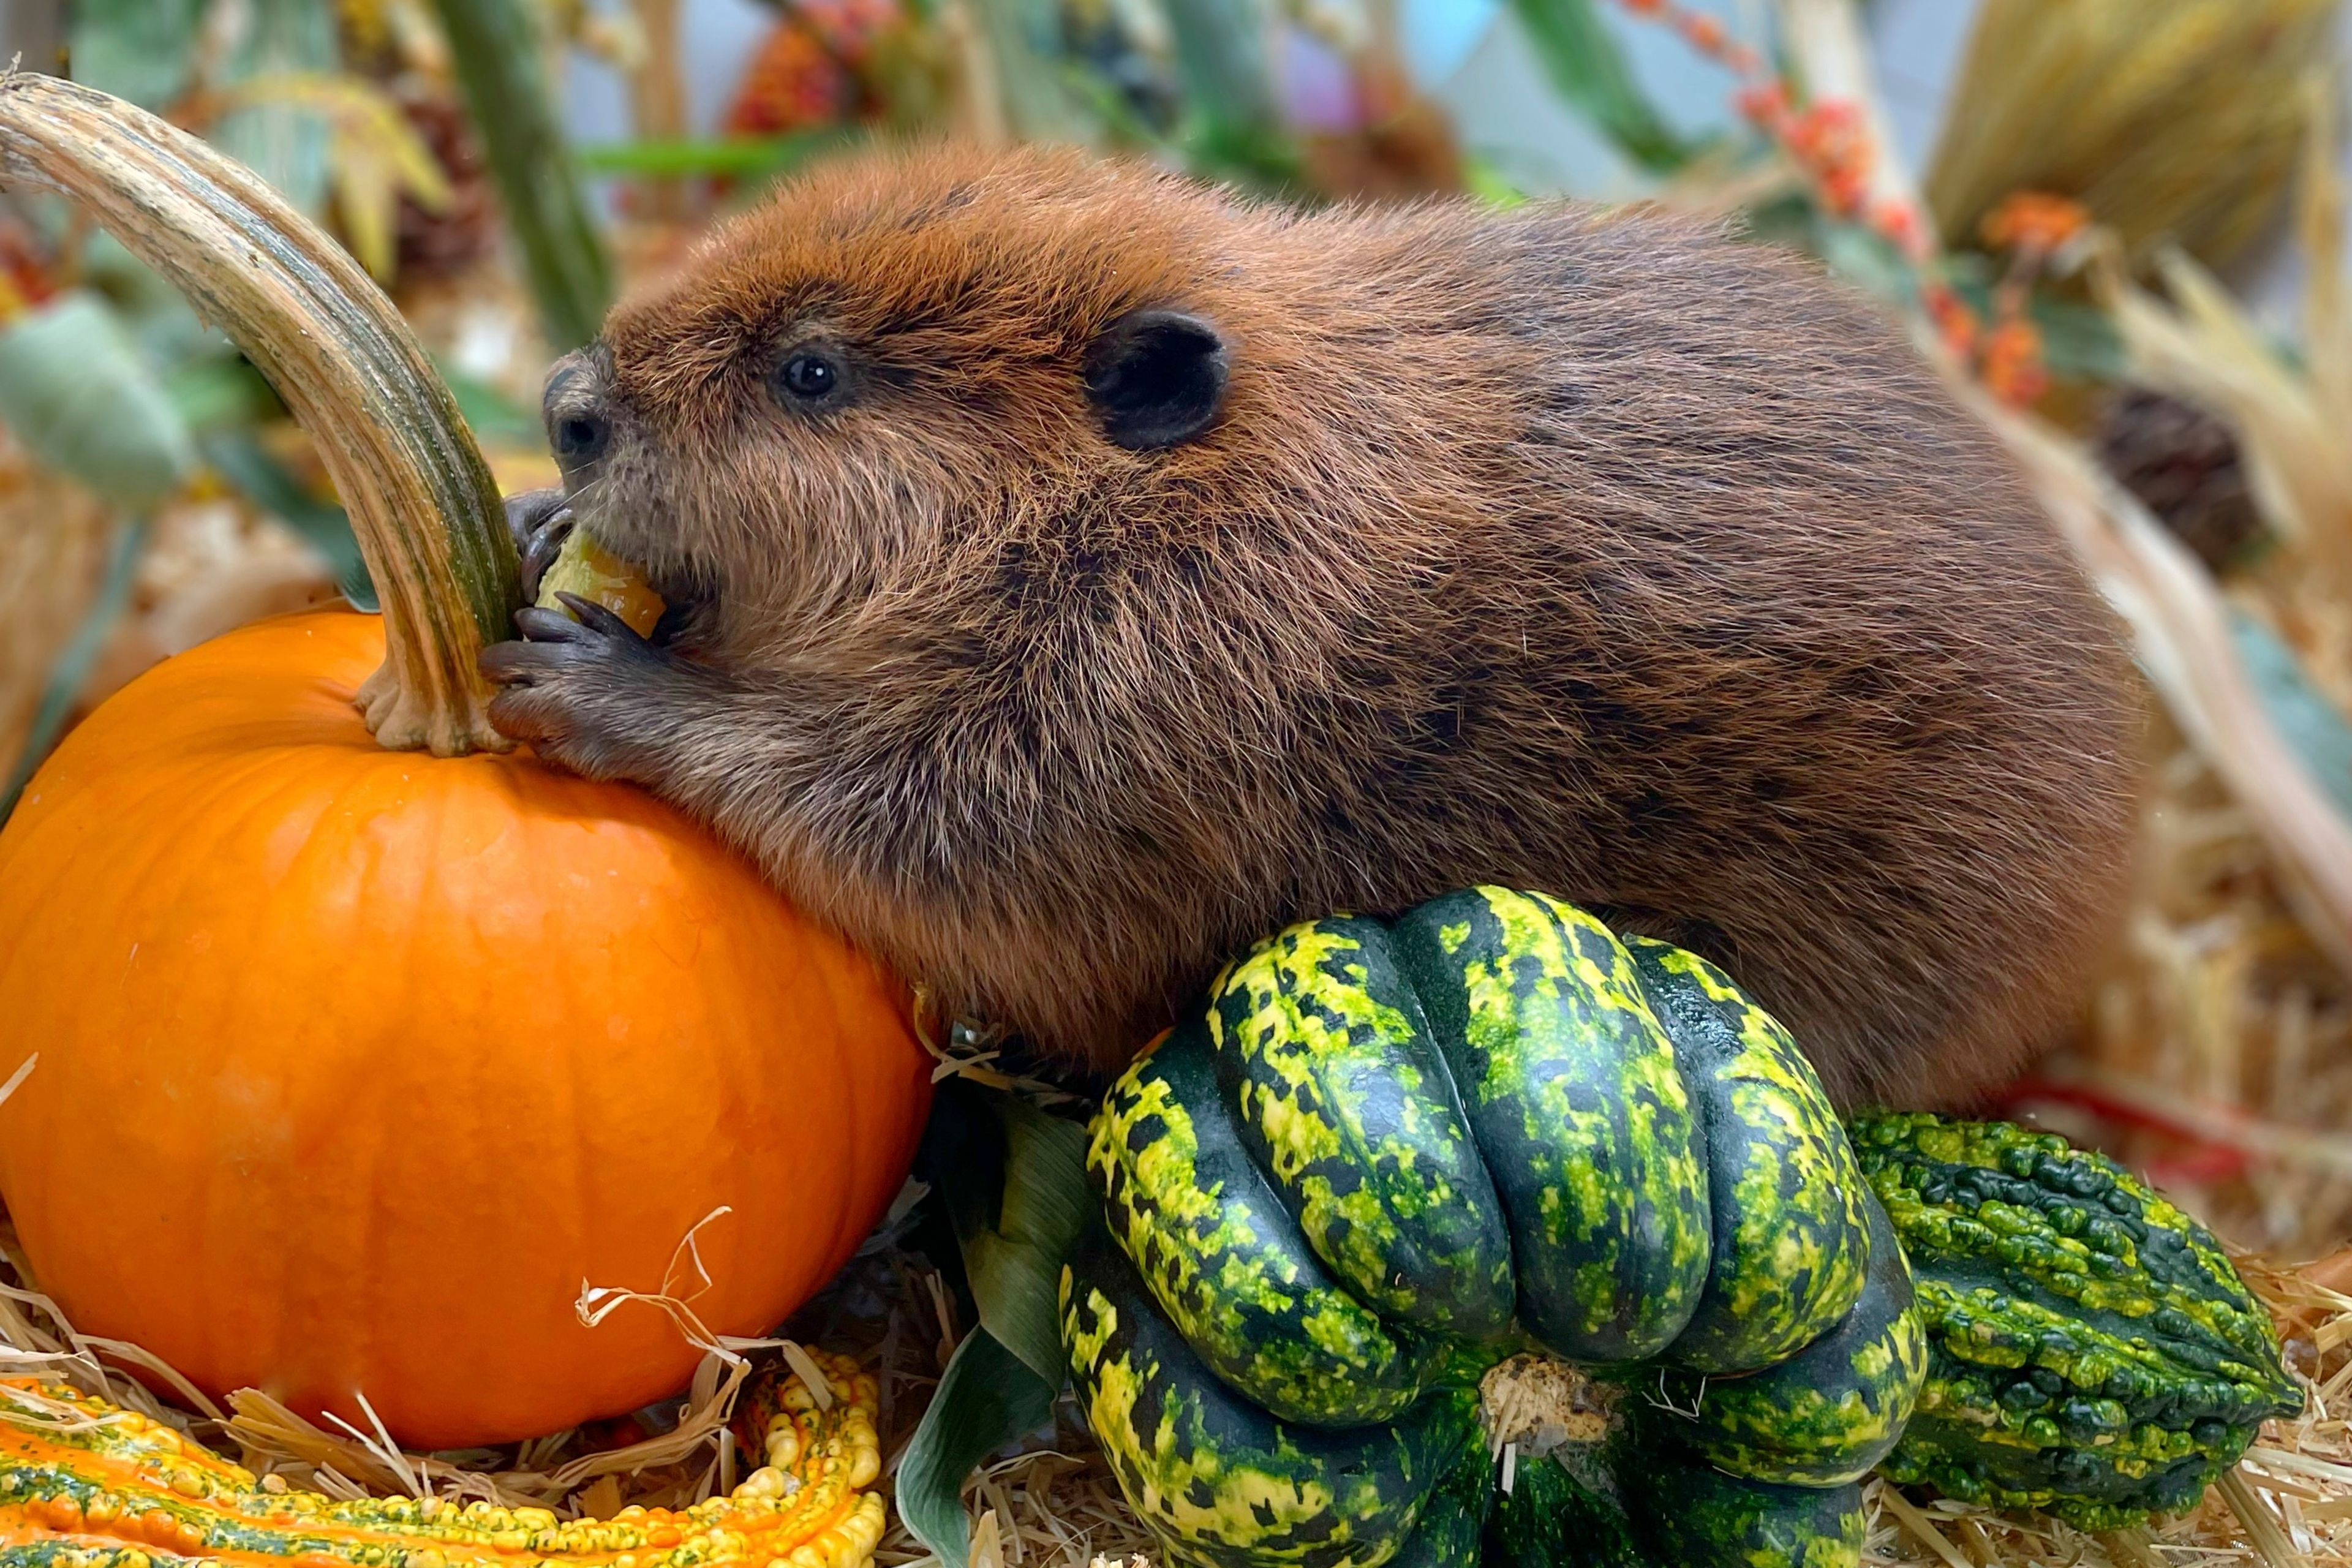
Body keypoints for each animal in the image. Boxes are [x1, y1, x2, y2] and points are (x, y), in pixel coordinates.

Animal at [472, 144, 2135, 1104]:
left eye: (812, 370)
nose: (568, 405)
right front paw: (541, 533)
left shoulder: (1148, 715)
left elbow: (924, 835)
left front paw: (589, 674)